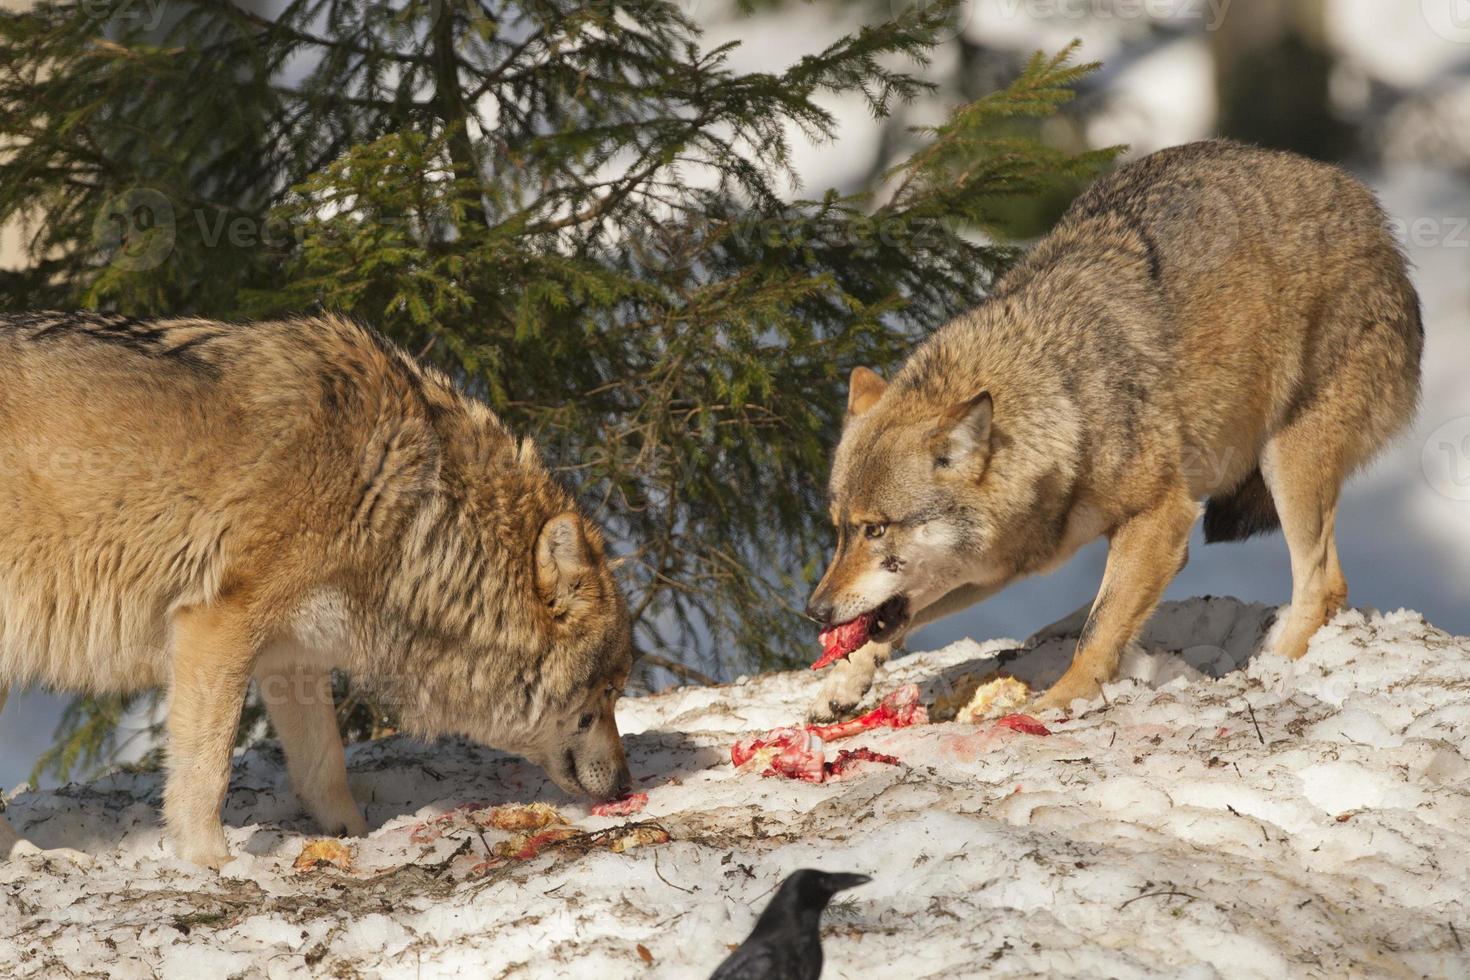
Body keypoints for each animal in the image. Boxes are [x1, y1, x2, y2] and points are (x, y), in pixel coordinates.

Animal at [0, 312, 632, 863]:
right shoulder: (217, 627)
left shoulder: (292, 655)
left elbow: (324, 765)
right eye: (606, 693)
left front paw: (353, 837)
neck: (410, 502)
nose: (627, 784)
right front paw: (211, 863)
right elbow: (206, 770)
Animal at [805, 138, 1422, 719]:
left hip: (1286, 462)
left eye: (876, 529)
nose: (814, 611)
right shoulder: (999, 564)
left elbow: (1099, 630)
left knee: (1322, 585)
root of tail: (1371, 210)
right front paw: (844, 681)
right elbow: (896, 622)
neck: (1063, 405)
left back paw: (1273, 668)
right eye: (840, 531)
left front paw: (1059, 702)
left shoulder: (1161, 515)